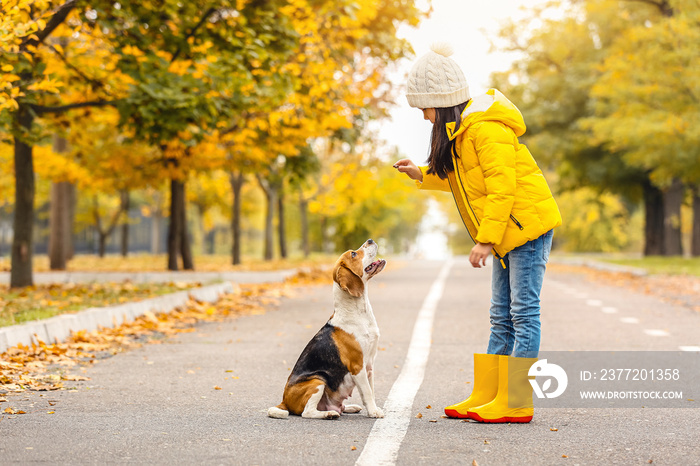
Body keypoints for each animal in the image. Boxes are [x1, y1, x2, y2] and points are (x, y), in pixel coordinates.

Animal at [270, 240, 388, 418]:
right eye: (353, 254)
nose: (370, 241)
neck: (357, 311)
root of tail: (284, 401)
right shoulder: (357, 367)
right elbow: (367, 392)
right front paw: (374, 412)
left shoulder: (369, 366)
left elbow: (371, 391)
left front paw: (373, 409)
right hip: (318, 381)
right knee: (308, 412)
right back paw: (329, 414)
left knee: (337, 406)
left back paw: (349, 407)